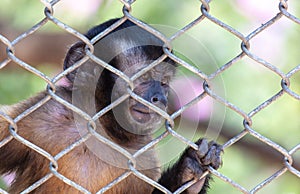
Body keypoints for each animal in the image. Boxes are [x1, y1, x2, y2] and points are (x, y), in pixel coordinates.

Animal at [0, 17, 221, 193]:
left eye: (164, 83)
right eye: (143, 77)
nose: (160, 98)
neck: (101, 131)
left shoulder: (143, 155)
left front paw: (189, 170)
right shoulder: (44, 113)